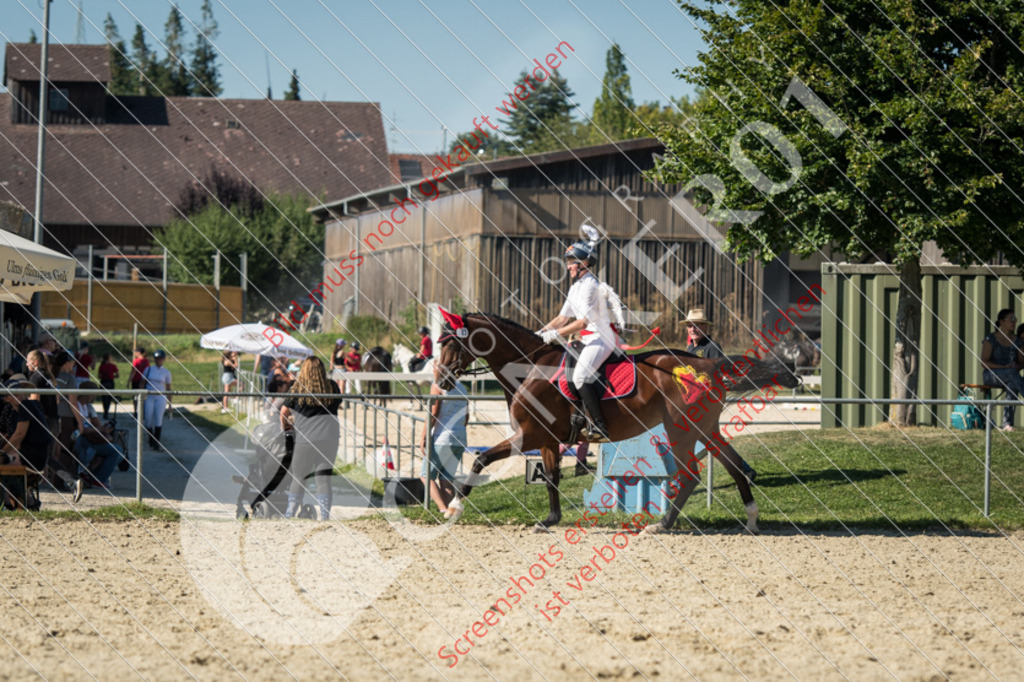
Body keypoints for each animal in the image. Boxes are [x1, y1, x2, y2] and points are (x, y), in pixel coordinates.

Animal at [434, 311, 798, 532]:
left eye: (451, 341)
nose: (440, 381)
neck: (529, 366)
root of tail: (709, 366)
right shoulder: (548, 440)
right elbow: (550, 478)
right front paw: (550, 519)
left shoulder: (529, 436)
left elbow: (480, 460)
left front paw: (453, 509)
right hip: (705, 429)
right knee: (734, 466)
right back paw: (751, 519)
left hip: (680, 429)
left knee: (691, 474)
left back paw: (662, 524)